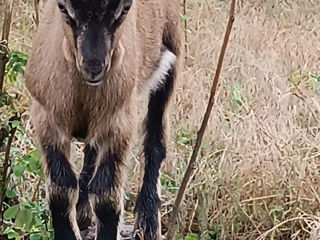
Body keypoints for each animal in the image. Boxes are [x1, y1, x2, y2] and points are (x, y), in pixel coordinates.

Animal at [25, 0, 182, 239]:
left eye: (125, 9)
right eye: (62, 7)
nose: (93, 67)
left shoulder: (118, 123)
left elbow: (106, 196)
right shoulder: (47, 119)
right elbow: (61, 189)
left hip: (170, 49)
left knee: (156, 137)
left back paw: (148, 223)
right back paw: (82, 213)